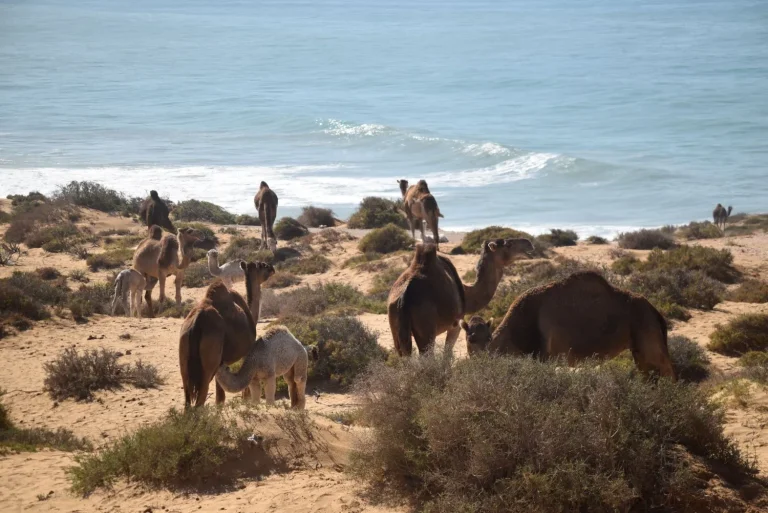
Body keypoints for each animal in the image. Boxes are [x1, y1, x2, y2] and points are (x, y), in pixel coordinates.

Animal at [179, 261, 275, 407]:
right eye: (262, 265)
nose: (272, 268)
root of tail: (197, 322)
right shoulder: (247, 353)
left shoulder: (222, 364)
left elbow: (220, 399)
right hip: (209, 365)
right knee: (200, 400)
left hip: (184, 358)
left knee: (187, 399)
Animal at [388, 238, 533, 357]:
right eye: (508, 244)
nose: (529, 244)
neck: (467, 294)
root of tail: (404, 297)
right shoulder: (455, 325)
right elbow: (447, 356)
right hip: (426, 330)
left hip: (396, 331)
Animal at [462, 271, 675, 379]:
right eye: (470, 337)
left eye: (487, 337)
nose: (480, 357)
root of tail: (655, 311)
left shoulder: (544, 356)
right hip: (638, 347)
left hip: (647, 333)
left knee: (665, 368)